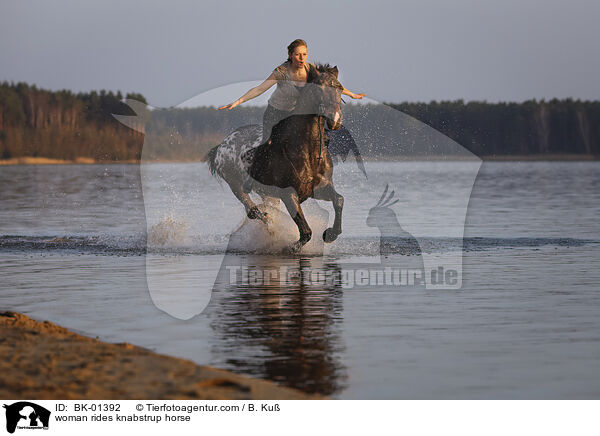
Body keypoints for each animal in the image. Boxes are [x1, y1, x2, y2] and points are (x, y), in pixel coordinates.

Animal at [206, 63, 344, 250]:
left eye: (340, 88)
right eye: (319, 88)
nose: (335, 120)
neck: (307, 151)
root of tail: (220, 146)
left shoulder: (320, 188)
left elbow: (339, 200)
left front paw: (330, 234)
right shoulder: (289, 194)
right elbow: (306, 231)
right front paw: (292, 246)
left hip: (266, 192)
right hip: (234, 183)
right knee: (252, 210)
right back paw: (270, 225)